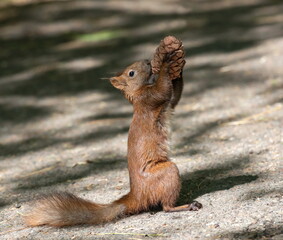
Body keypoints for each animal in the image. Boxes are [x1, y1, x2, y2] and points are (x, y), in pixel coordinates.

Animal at [24, 56, 202, 227]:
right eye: (131, 73)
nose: (147, 61)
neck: (137, 94)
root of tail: (138, 195)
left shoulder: (166, 103)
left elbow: (175, 95)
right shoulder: (150, 99)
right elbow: (163, 90)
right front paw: (166, 62)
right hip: (167, 173)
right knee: (166, 207)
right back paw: (188, 205)